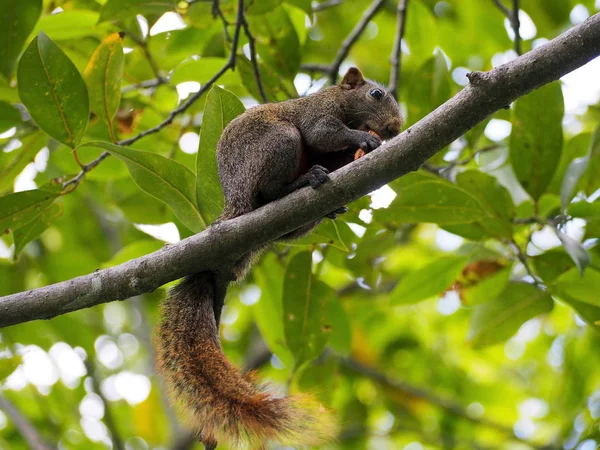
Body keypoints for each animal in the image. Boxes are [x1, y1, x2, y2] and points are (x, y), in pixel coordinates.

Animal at [157, 67, 404, 450]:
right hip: (277, 143)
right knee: (271, 190)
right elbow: (323, 133)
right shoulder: (318, 113)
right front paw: (366, 138)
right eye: (376, 94)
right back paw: (304, 180)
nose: (394, 127)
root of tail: (237, 205)